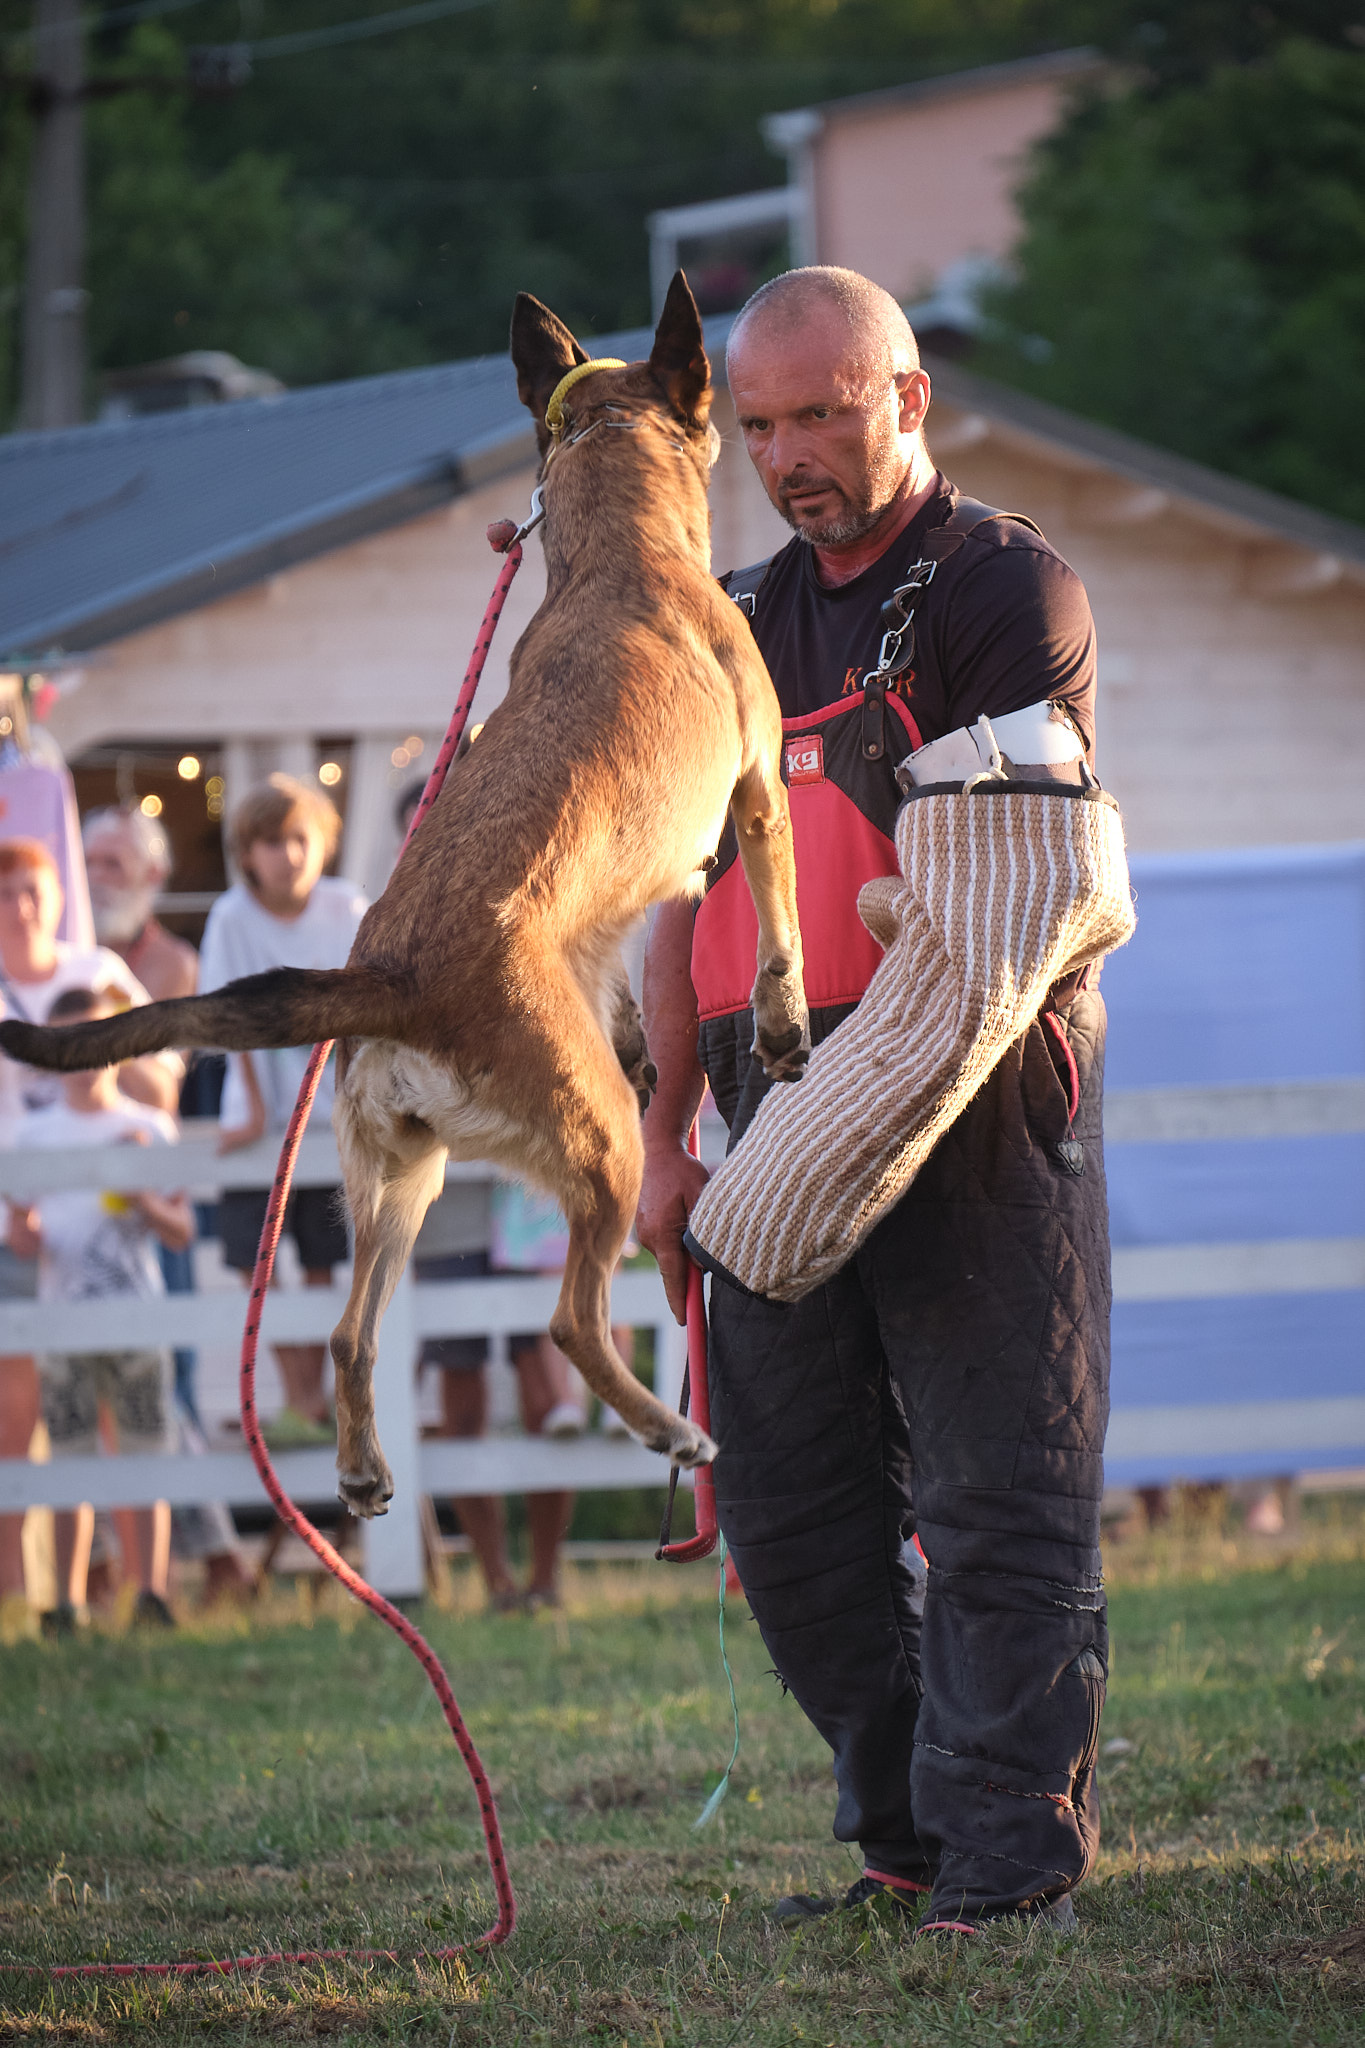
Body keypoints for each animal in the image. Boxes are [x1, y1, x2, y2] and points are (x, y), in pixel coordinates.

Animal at [0, 272, 806, 1515]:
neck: (619, 549)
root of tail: (391, 976)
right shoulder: (756, 796)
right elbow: (778, 925)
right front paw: (782, 1018)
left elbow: (623, 977)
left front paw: (642, 1029)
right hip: (595, 1150)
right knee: (568, 1323)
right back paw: (669, 1427)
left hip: (401, 1178)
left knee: (349, 1331)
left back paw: (366, 1466)